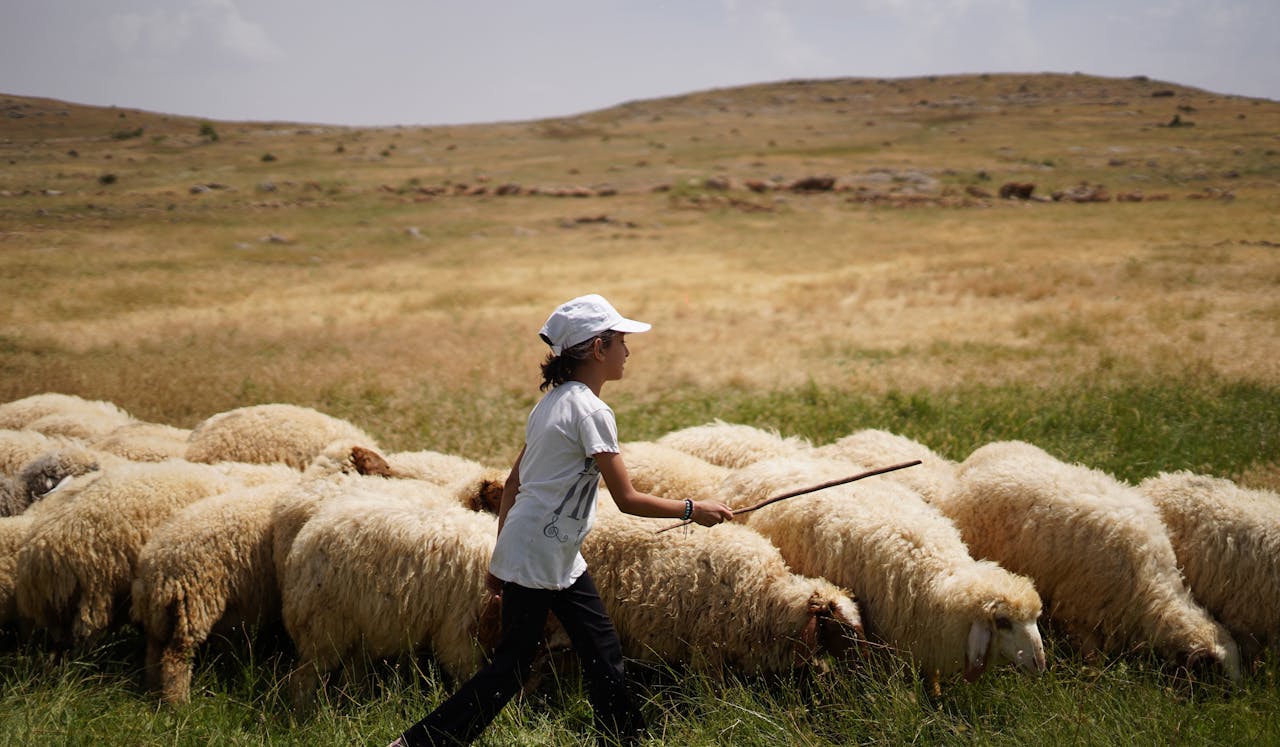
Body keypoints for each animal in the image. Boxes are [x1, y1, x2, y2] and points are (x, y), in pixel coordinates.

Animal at [938, 441, 1241, 681]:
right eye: (1218, 675)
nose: (1239, 702)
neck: (1152, 589)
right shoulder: (1081, 613)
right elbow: (1092, 657)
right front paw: (1092, 677)